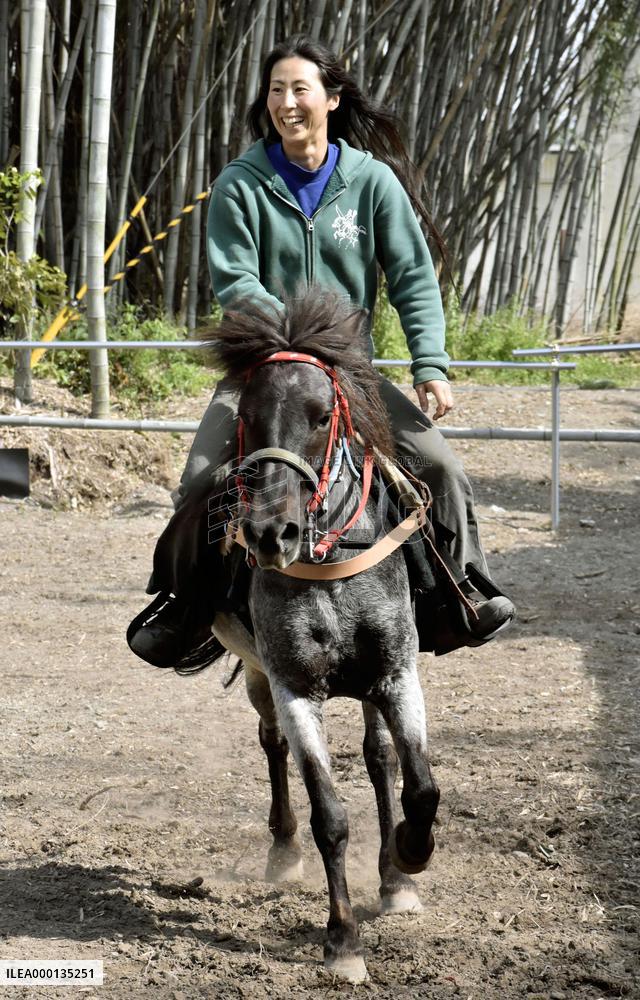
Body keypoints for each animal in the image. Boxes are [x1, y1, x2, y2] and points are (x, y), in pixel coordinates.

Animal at [205, 291, 440, 984]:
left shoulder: (395, 675)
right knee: (272, 745)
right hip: (259, 677)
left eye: (319, 417)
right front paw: (342, 942)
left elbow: (420, 785)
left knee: (379, 758)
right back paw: (283, 854)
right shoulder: (294, 689)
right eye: (247, 417)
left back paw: (395, 880)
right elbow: (329, 816)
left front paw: (411, 856)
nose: (269, 534)